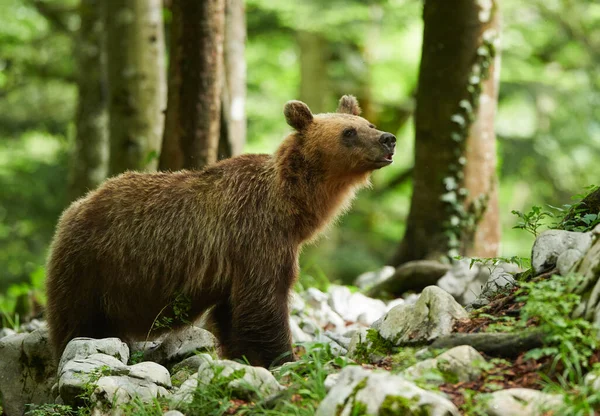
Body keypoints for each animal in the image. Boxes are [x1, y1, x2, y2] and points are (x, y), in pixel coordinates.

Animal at [44, 95, 396, 368]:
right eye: (349, 132)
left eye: (369, 124)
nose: (388, 139)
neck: (291, 208)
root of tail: (75, 207)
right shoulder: (256, 236)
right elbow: (264, 302)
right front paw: (285, 357)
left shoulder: (241, 260)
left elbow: (232, 314)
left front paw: (243, 356)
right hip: (92, 267)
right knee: (76, 322)